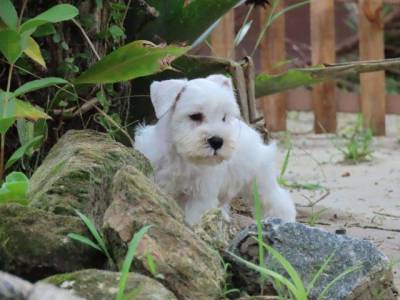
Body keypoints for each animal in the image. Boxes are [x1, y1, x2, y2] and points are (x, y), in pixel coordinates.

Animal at [136, 75, 296, 225]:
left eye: (224, 117)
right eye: (195, 116)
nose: (217, 141)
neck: (181, 156)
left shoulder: (200, 197)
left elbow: (194, 218)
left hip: (260, 182)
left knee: (277, 200)